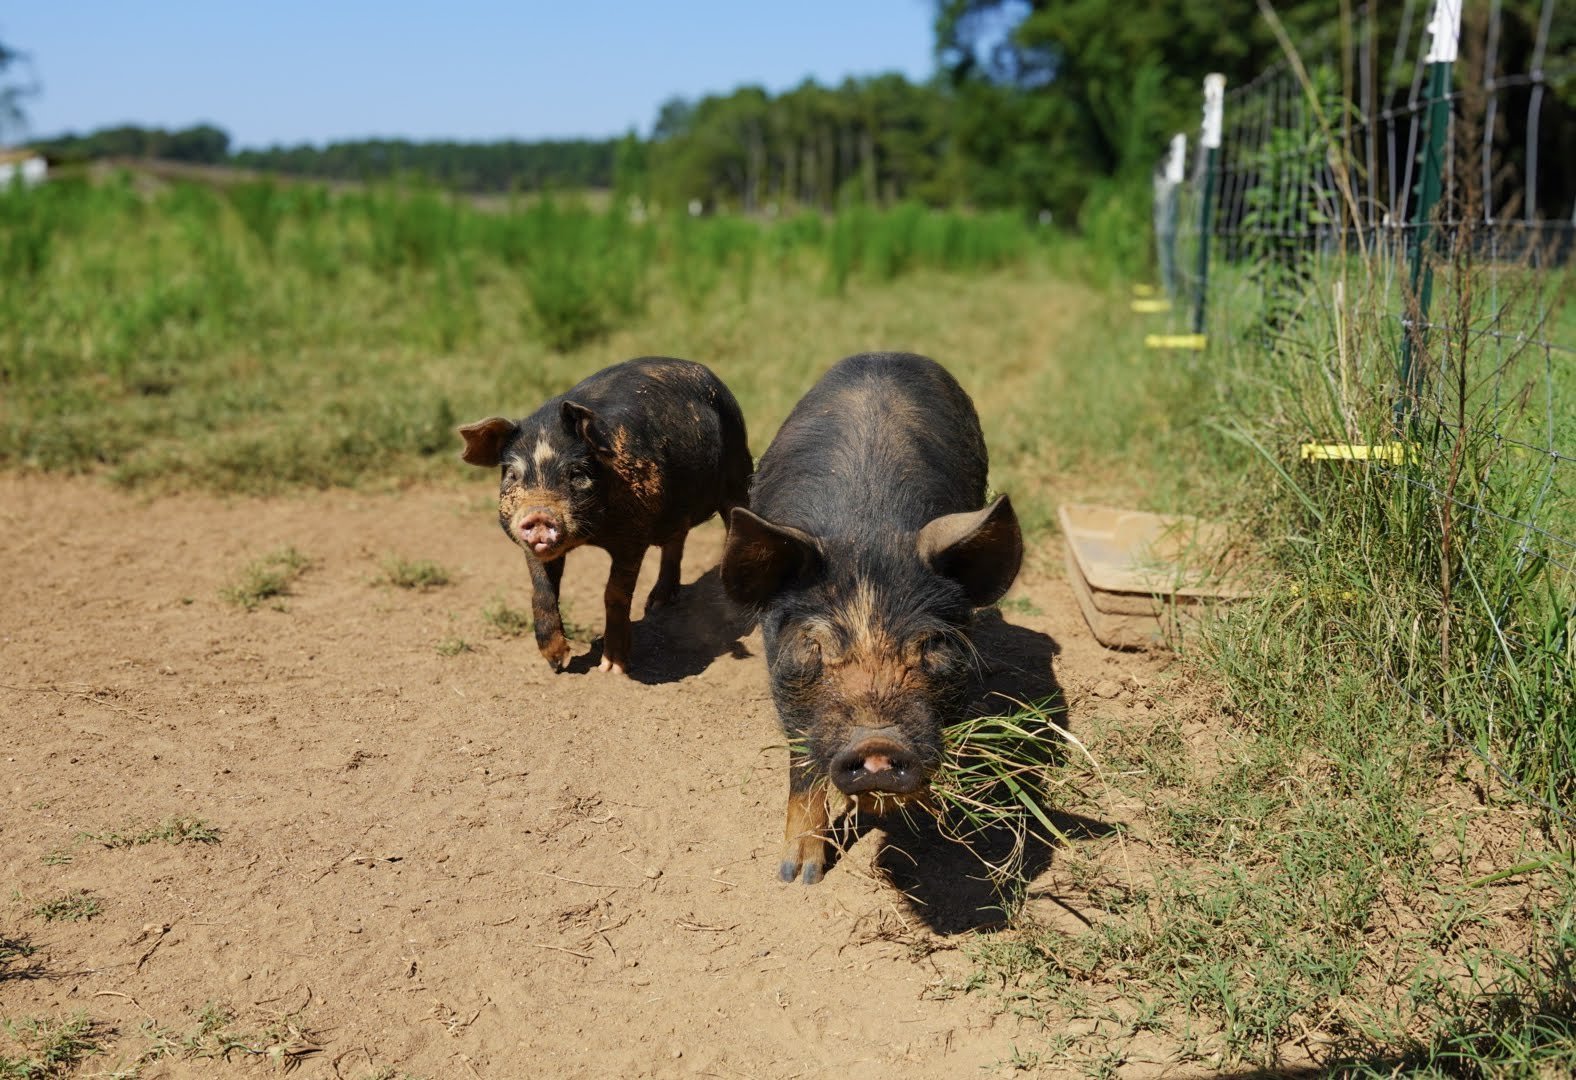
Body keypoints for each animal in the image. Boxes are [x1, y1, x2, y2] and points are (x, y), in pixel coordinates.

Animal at [459, 356, 752, 676]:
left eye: (577, 473)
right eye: (512, 475)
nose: (539, 514)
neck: (592, 535)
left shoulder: (633, 535)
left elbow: (615, 593)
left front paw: (612, 667)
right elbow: (542, 591)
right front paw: (557, 663)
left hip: (739, 471)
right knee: (677, 539)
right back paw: (656, 604)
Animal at [721, 352, 1023, 884]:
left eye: (932, 644)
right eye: (816, 646)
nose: (877, 742)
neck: (868, 529)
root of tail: (886, 352)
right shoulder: (788, 691)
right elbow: (803, 766)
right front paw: (798, 876)